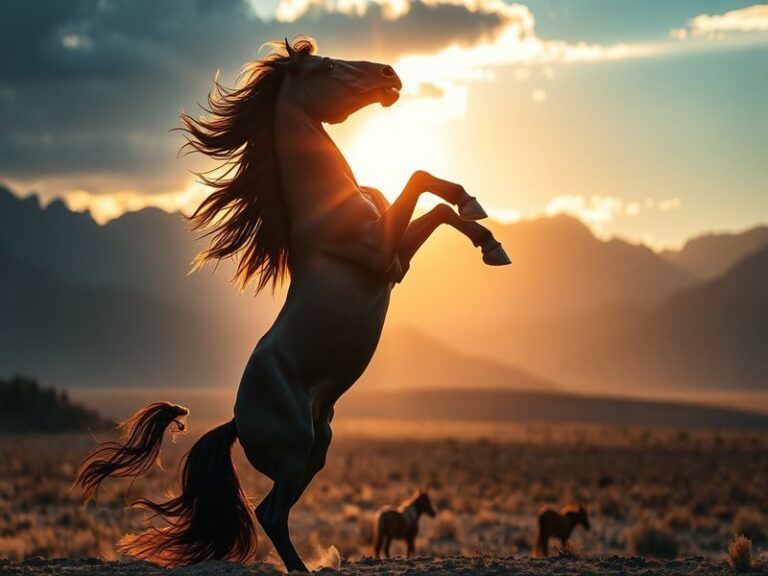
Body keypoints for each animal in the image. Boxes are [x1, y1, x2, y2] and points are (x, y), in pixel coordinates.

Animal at [73, 36, 510, 572]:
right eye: (327, 65)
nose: (390, 75)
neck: (326, 208)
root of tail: (237, 420)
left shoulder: (395, 264)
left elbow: (441, 209)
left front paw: (489, 239)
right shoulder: (379, 250)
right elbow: (419, 177)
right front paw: (480, 217)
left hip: (315, 451)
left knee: (271, 510)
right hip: (295, 448)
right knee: (270, 512)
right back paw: (302, 567)